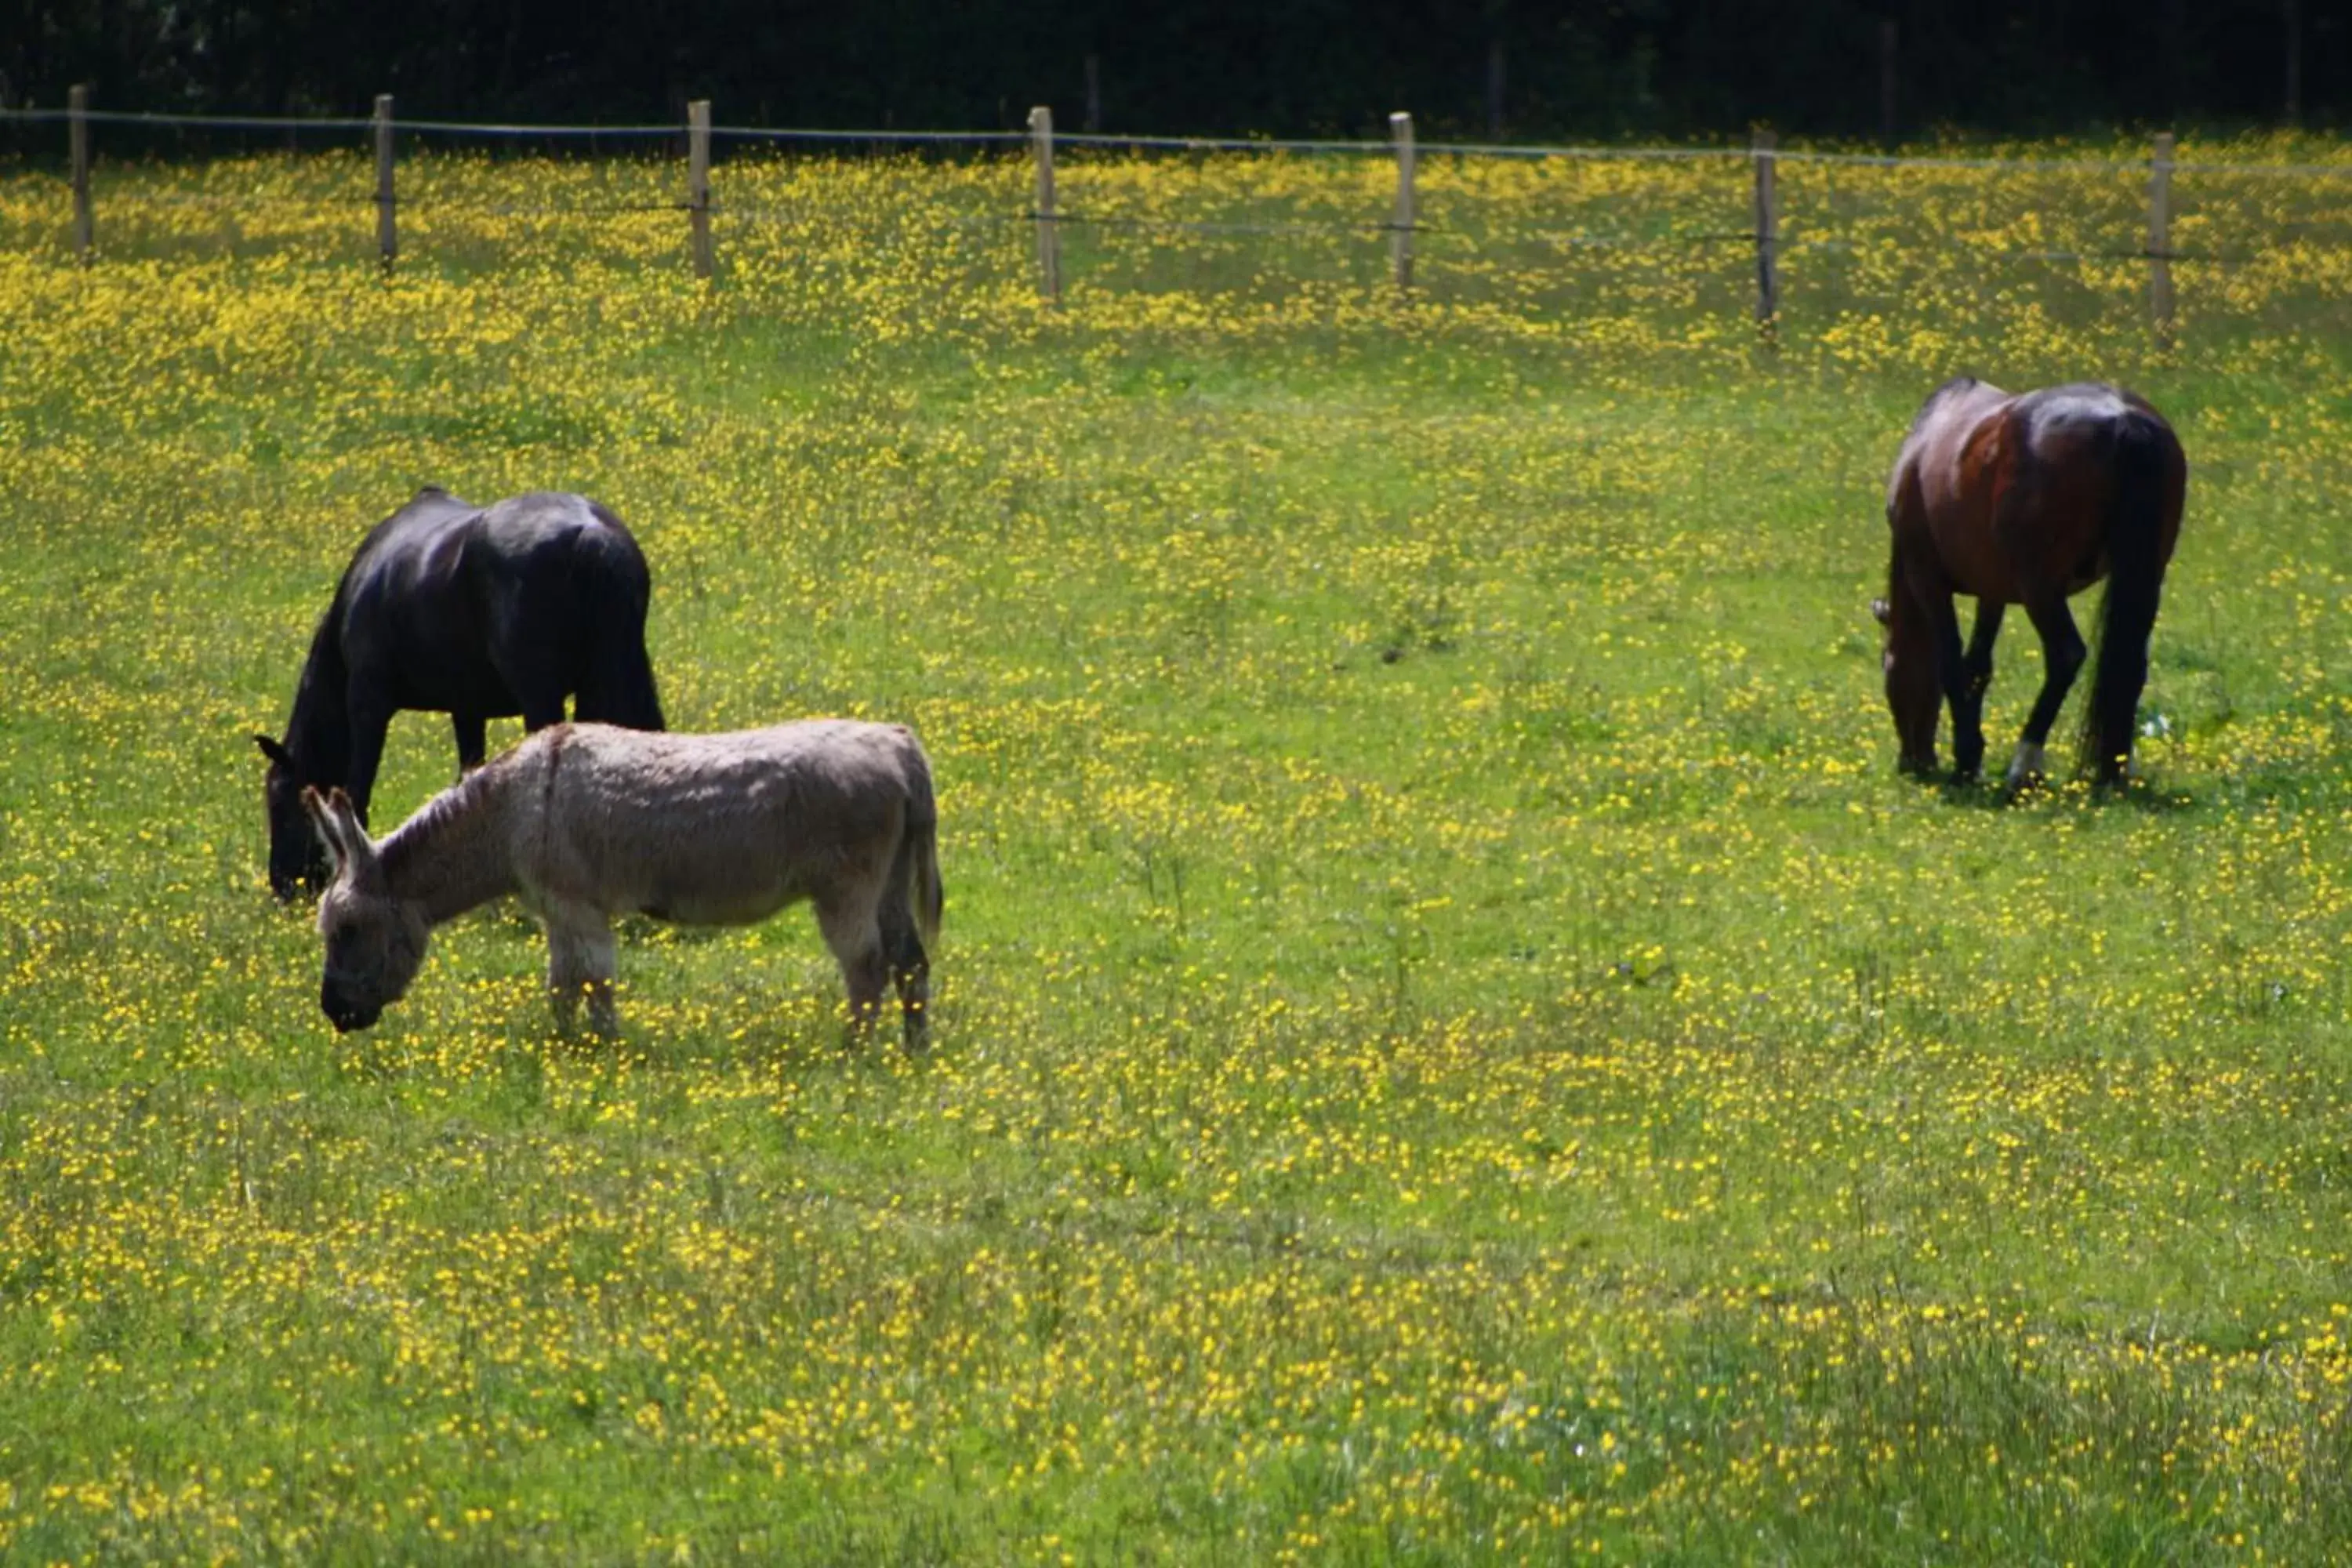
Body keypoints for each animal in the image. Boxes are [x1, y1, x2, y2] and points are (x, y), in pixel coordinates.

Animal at [256, 484, 663, 902]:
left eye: (278, 801)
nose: (283, 888)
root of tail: (591, 533)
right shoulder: (467, 708)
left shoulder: (368, 704)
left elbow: (358, 796)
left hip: (541, 698)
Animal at [299, 724, 941, 1053]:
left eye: (348, 930)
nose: (335, 1013)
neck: (512, 810)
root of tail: (898, 744)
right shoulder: (557, 913)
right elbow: (561, 986)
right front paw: (563, 1049)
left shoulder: (579, 907)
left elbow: (597, 982)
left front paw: (608, 1057)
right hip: (887, 883)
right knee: (910, 961)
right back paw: (913, 1052)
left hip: (846, 891)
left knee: (866, 968)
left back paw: (852, 1055)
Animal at [1872, 376, 2183, 789]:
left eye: (1886, 665)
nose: (1911, 762)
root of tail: (2124, 419)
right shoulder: (1991, 591)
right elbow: (1977, 667)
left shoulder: (1929, 582)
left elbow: (1952, 664)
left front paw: (1967, 758)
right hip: (2146, 579)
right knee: (2132, 666)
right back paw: (2117, 767)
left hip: (2041, 588)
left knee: (2066, 655)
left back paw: (2026, 763)